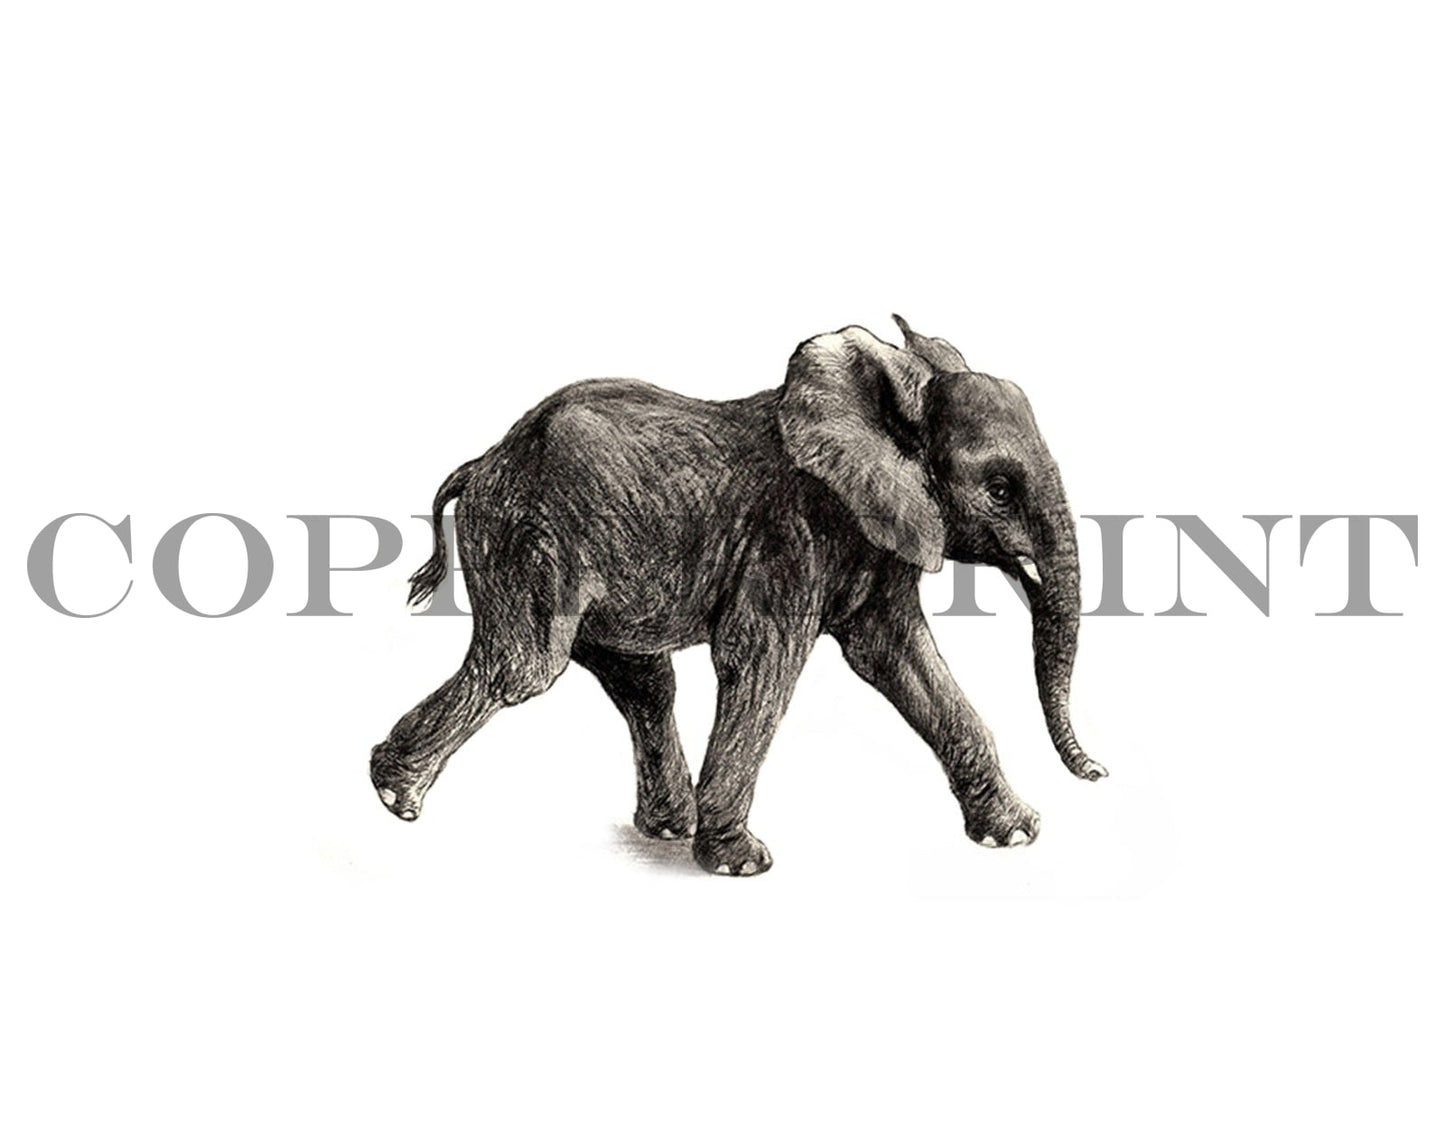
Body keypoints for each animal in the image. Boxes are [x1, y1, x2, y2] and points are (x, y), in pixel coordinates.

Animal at [370, 315, 1104, 876]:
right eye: (1000, 489)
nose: (1097, 773)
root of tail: (482, 463)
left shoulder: (876, 533)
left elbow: (899, 658)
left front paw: (1016, 834)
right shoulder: (790, 532)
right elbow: (762, 661)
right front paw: (740, 863)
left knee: (642, 683)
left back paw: (667, 826)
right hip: (527, 542)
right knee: (523, 667)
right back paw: (395, 798)